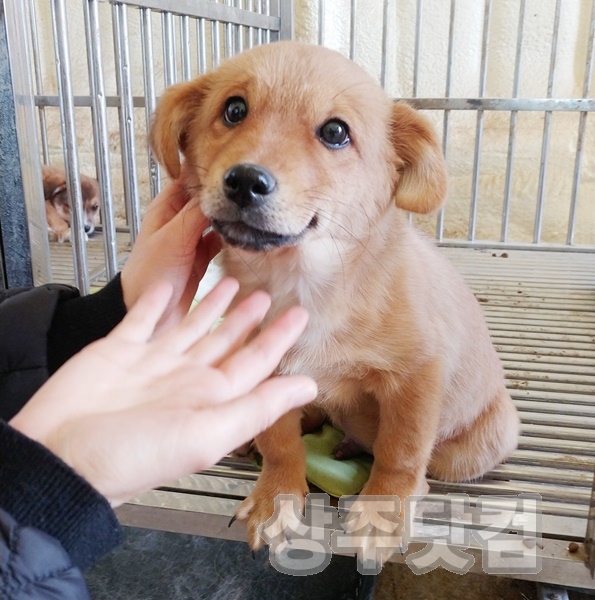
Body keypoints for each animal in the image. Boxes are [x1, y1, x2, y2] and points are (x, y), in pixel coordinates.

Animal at [150, 41, 520, 564]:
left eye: (335, 132)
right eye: (234, 109)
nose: (245, 181)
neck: (302, 284)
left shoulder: (416, 377)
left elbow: (400, 452)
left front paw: (385, 511)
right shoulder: (266, 368)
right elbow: (281, 442)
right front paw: (274, 497)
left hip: (474, 445)